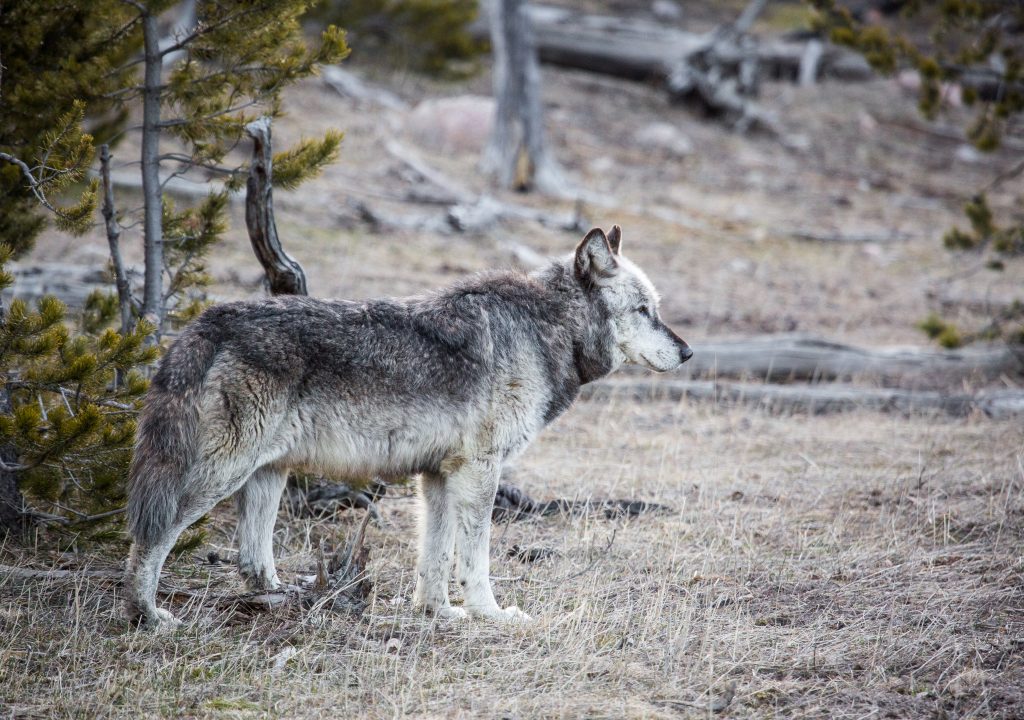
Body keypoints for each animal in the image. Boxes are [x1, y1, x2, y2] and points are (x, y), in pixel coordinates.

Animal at [123, 225, 692, 626]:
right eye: (644, 310)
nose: (688, 352)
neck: (545, 328)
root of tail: (204, 323)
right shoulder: (479, 471)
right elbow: (475, 558)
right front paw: (490, 614)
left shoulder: (438, 475)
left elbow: (434, 558)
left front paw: (437, 612)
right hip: (220, 475)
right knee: (150, 537)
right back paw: (147, 615)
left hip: (267, 476)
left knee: (251, 560)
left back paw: (283, 600)